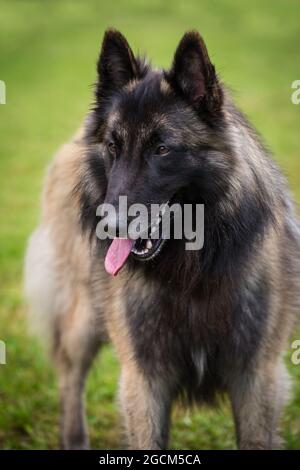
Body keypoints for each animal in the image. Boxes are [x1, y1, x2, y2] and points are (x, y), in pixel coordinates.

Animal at [24, 28, 300, 448]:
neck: (191, 271)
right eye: (113, 147)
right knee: (70, 377)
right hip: (82, 319)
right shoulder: (144, 379)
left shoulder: (257, 378)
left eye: (162, 149)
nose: (109, 225)